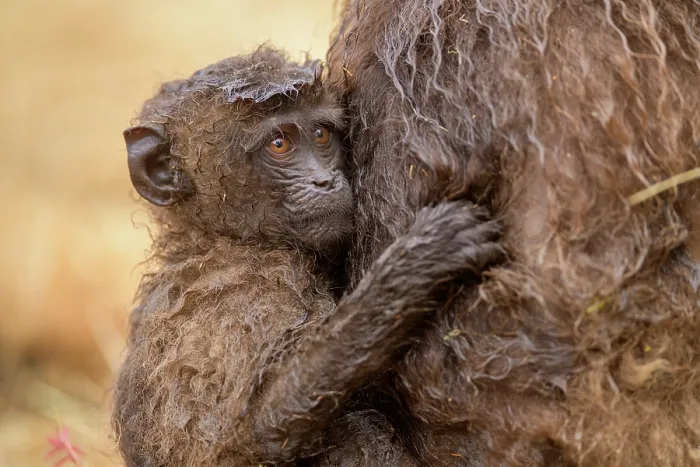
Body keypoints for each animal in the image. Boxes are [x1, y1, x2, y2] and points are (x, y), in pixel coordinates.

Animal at [112, 46, 504, 467]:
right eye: (279, 144)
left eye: (320, 135)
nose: (325, 181)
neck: (214, 236)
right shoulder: (248, 290)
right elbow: (247, 435)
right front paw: (411, 269)